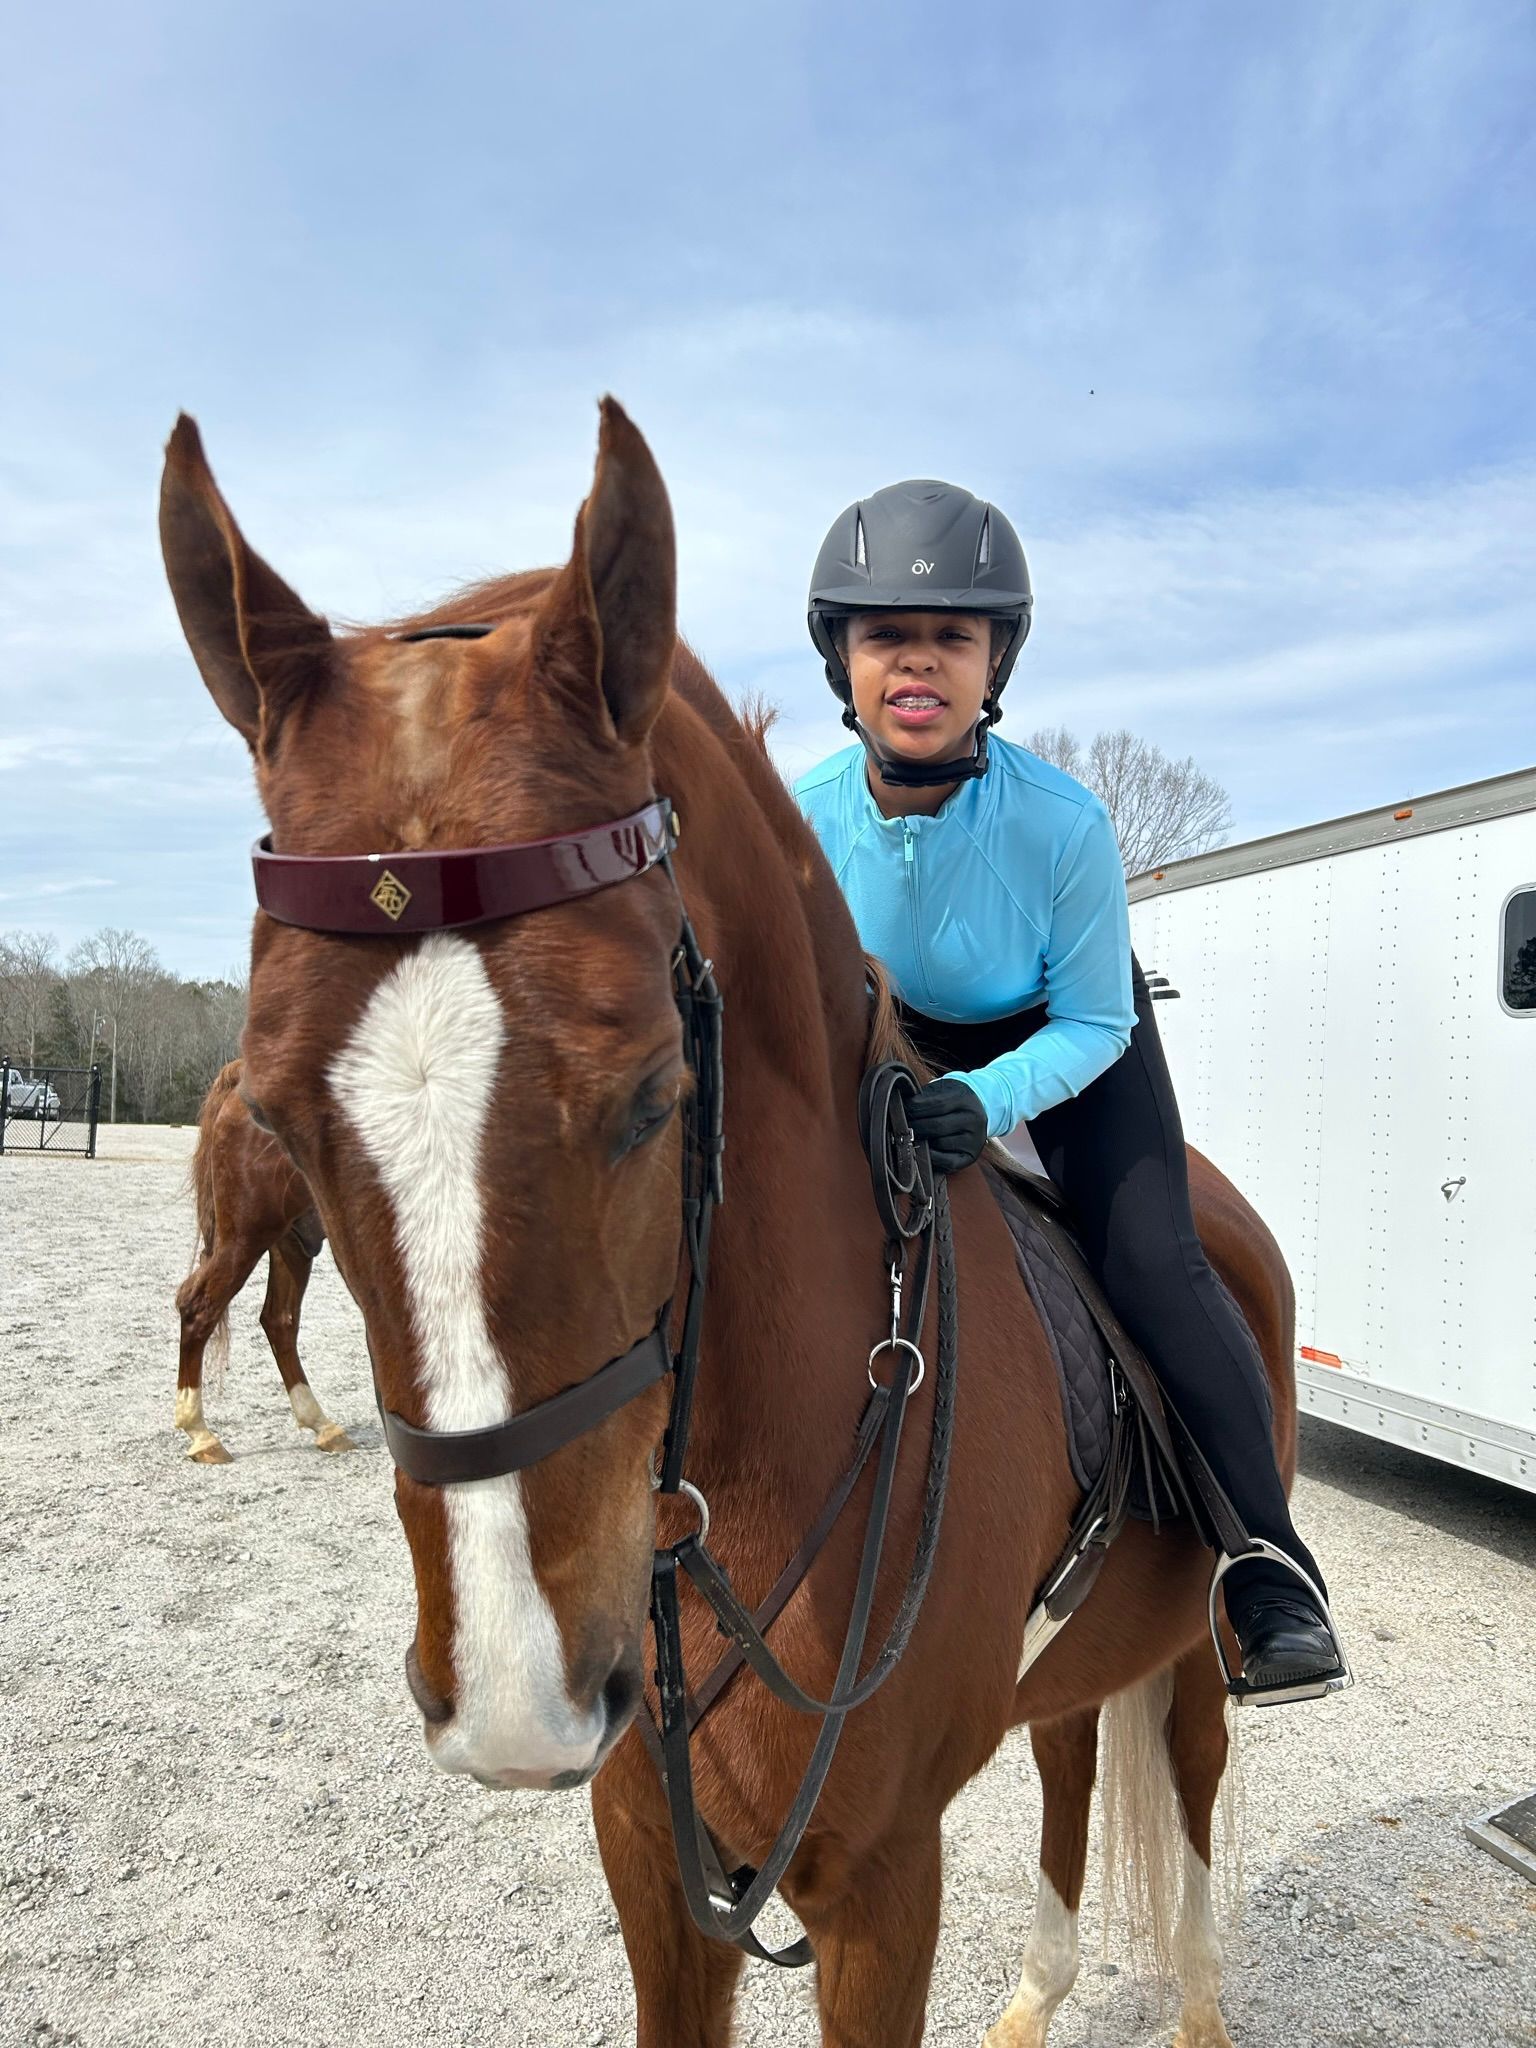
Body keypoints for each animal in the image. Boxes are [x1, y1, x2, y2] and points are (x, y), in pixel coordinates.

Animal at [174, 1060, 354, 1464]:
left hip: (292, 1241)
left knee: (279, 1320)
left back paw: (321, 1423)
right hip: (248, 1234)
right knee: (198, 1306)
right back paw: (200, 1432)